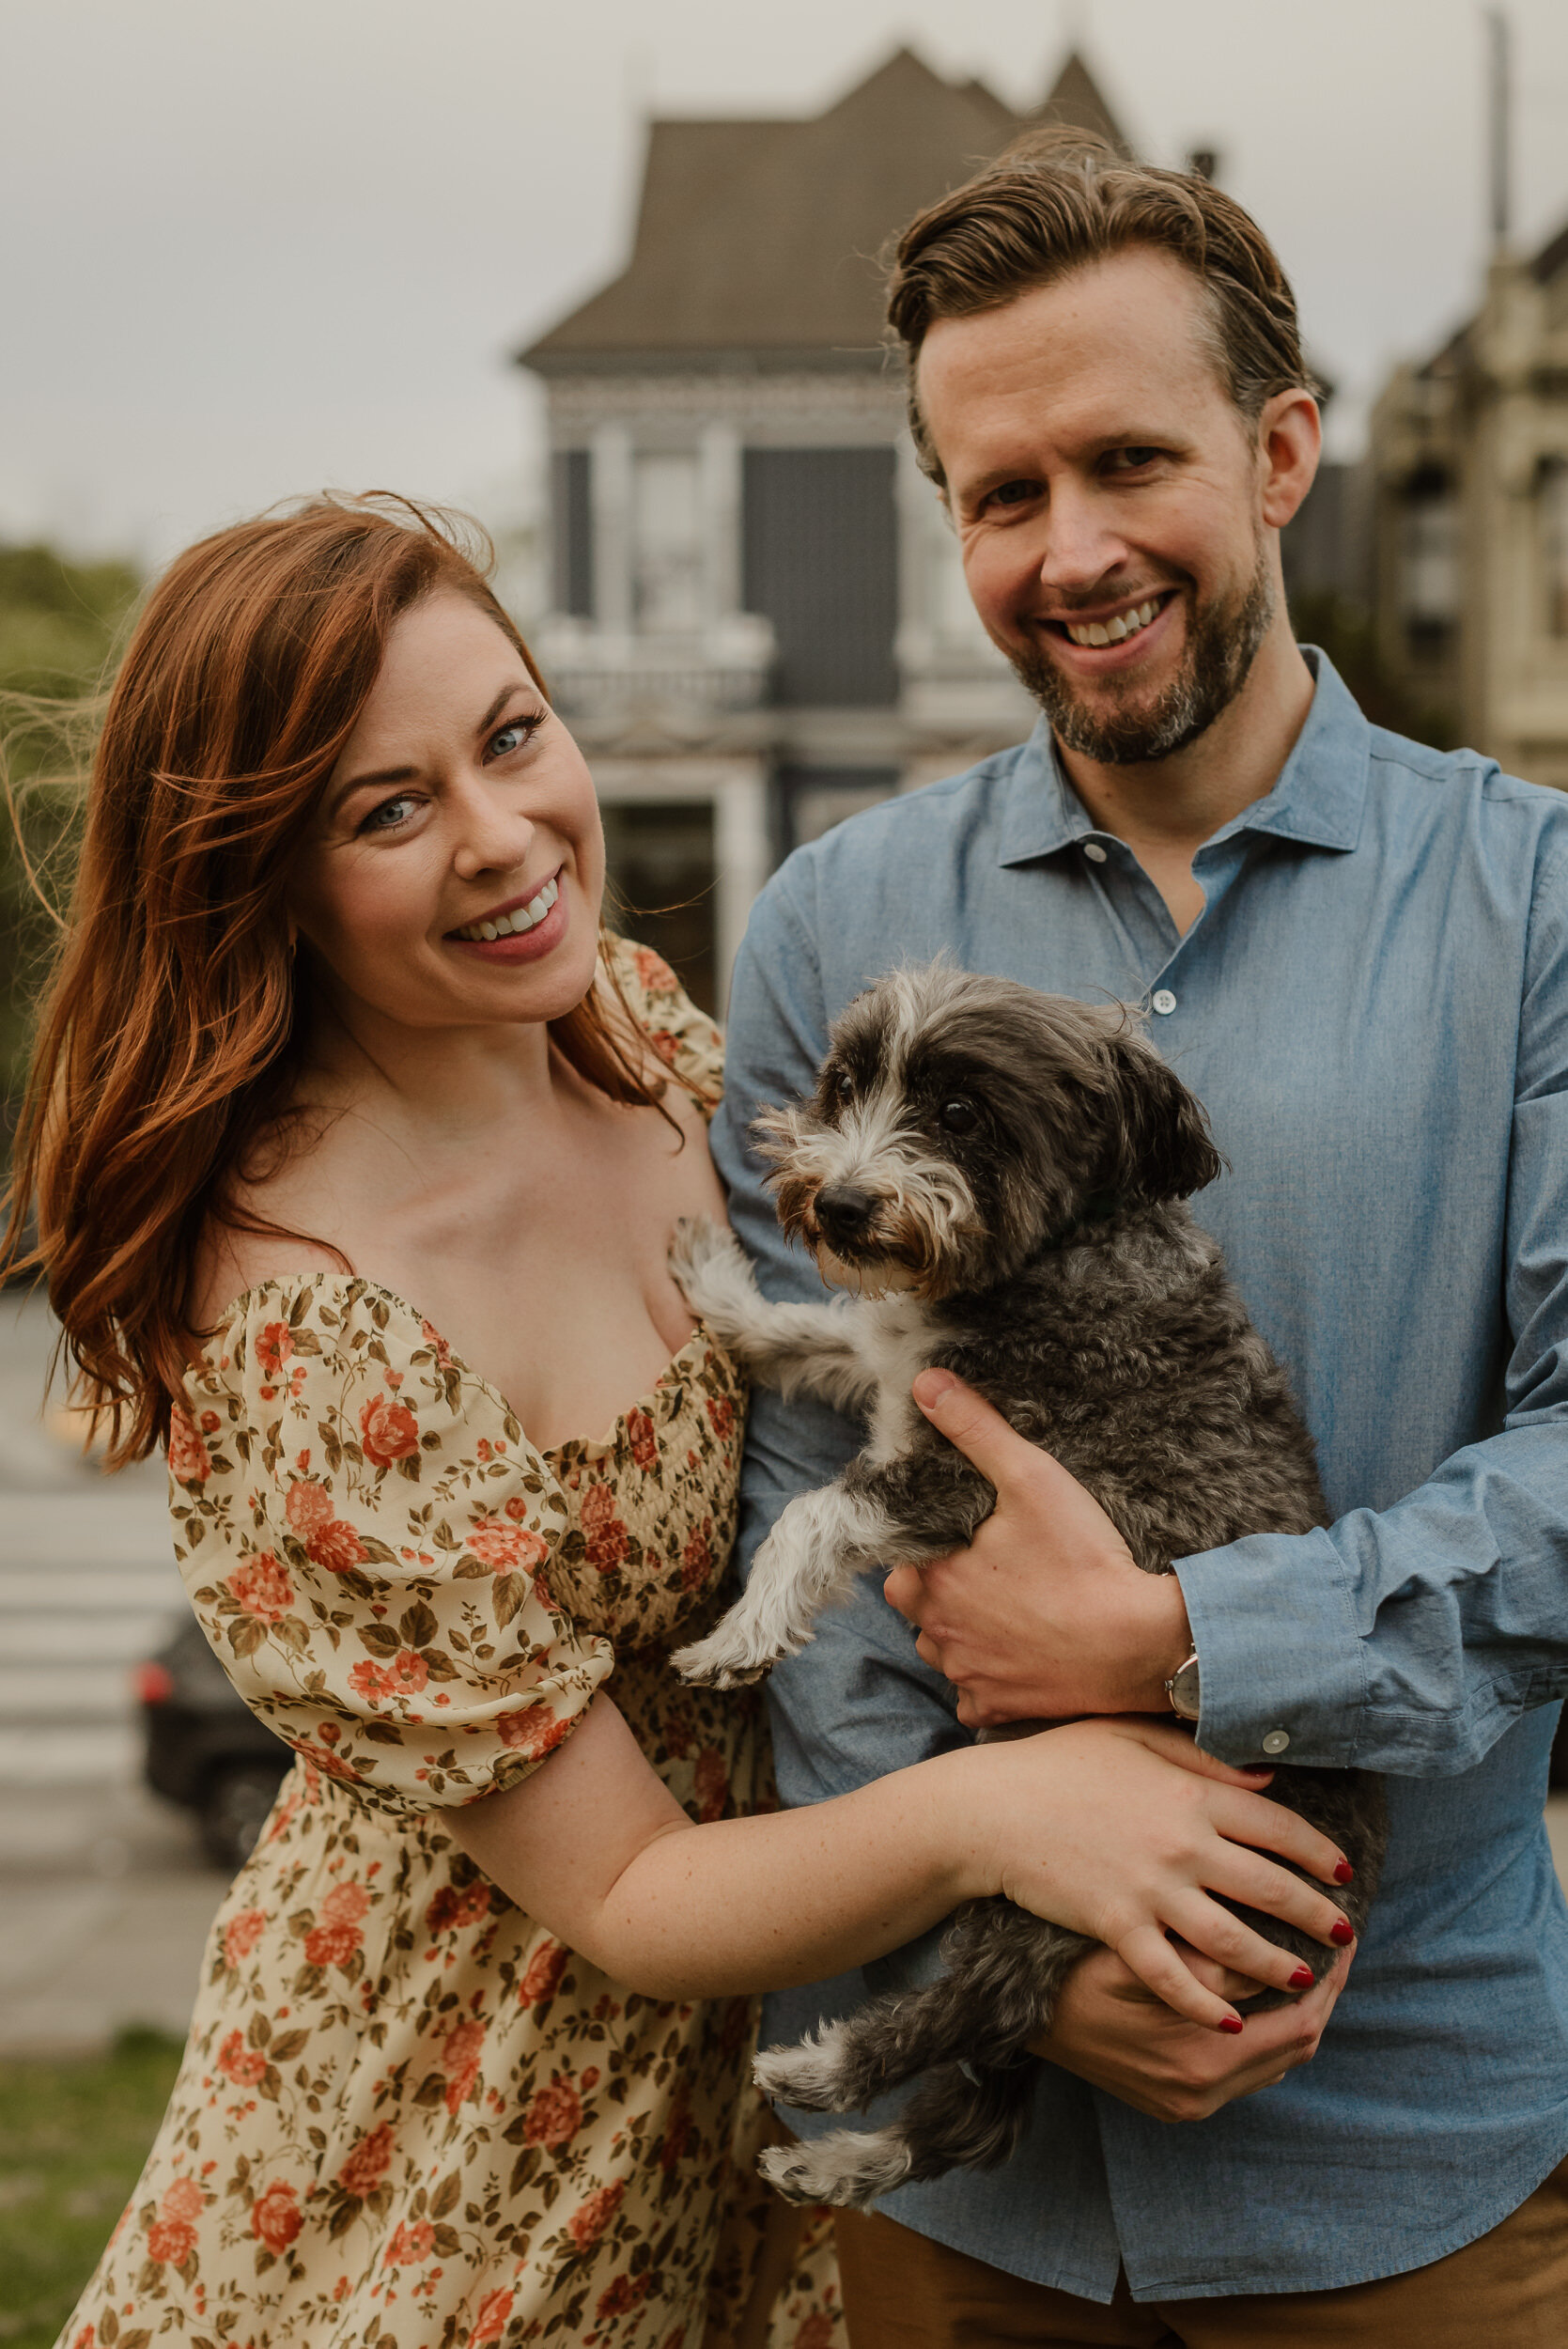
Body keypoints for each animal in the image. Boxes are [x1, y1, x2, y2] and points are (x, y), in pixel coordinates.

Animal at [661, 954, 1380, 2199]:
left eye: (957, 1112)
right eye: (846, 1083)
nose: (839, 1205)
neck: (1052, 1258)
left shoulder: (980, 1480)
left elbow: (813, 1511)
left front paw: (735, 1636)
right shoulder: (895, 1368)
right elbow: (816, 1329)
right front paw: (722, 1286)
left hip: (1071, 1900)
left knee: (981, 2016)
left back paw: (825, 2072)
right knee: (976, 2103)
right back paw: (843, 2159)